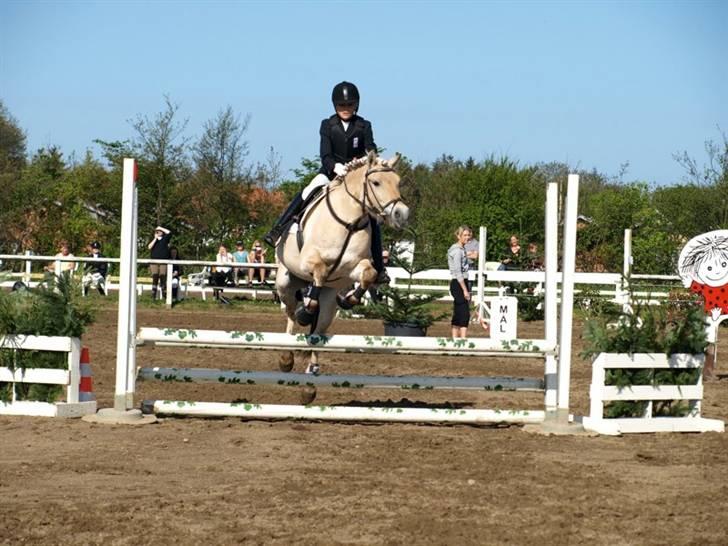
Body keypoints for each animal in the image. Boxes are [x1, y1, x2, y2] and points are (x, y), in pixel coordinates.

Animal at [274, 152, 410, 374]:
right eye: (376, 182)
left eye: (398, 182)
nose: (402, 214)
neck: (349, 221)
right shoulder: (308, 261)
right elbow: (320, 271)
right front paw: (307, 311)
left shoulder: (353, 268)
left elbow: (369, 275)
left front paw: (348, 300)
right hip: (285, 284)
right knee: (291, 313)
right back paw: (286, 356)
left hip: (328, 302)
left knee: (319, 330)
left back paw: (313, 366)